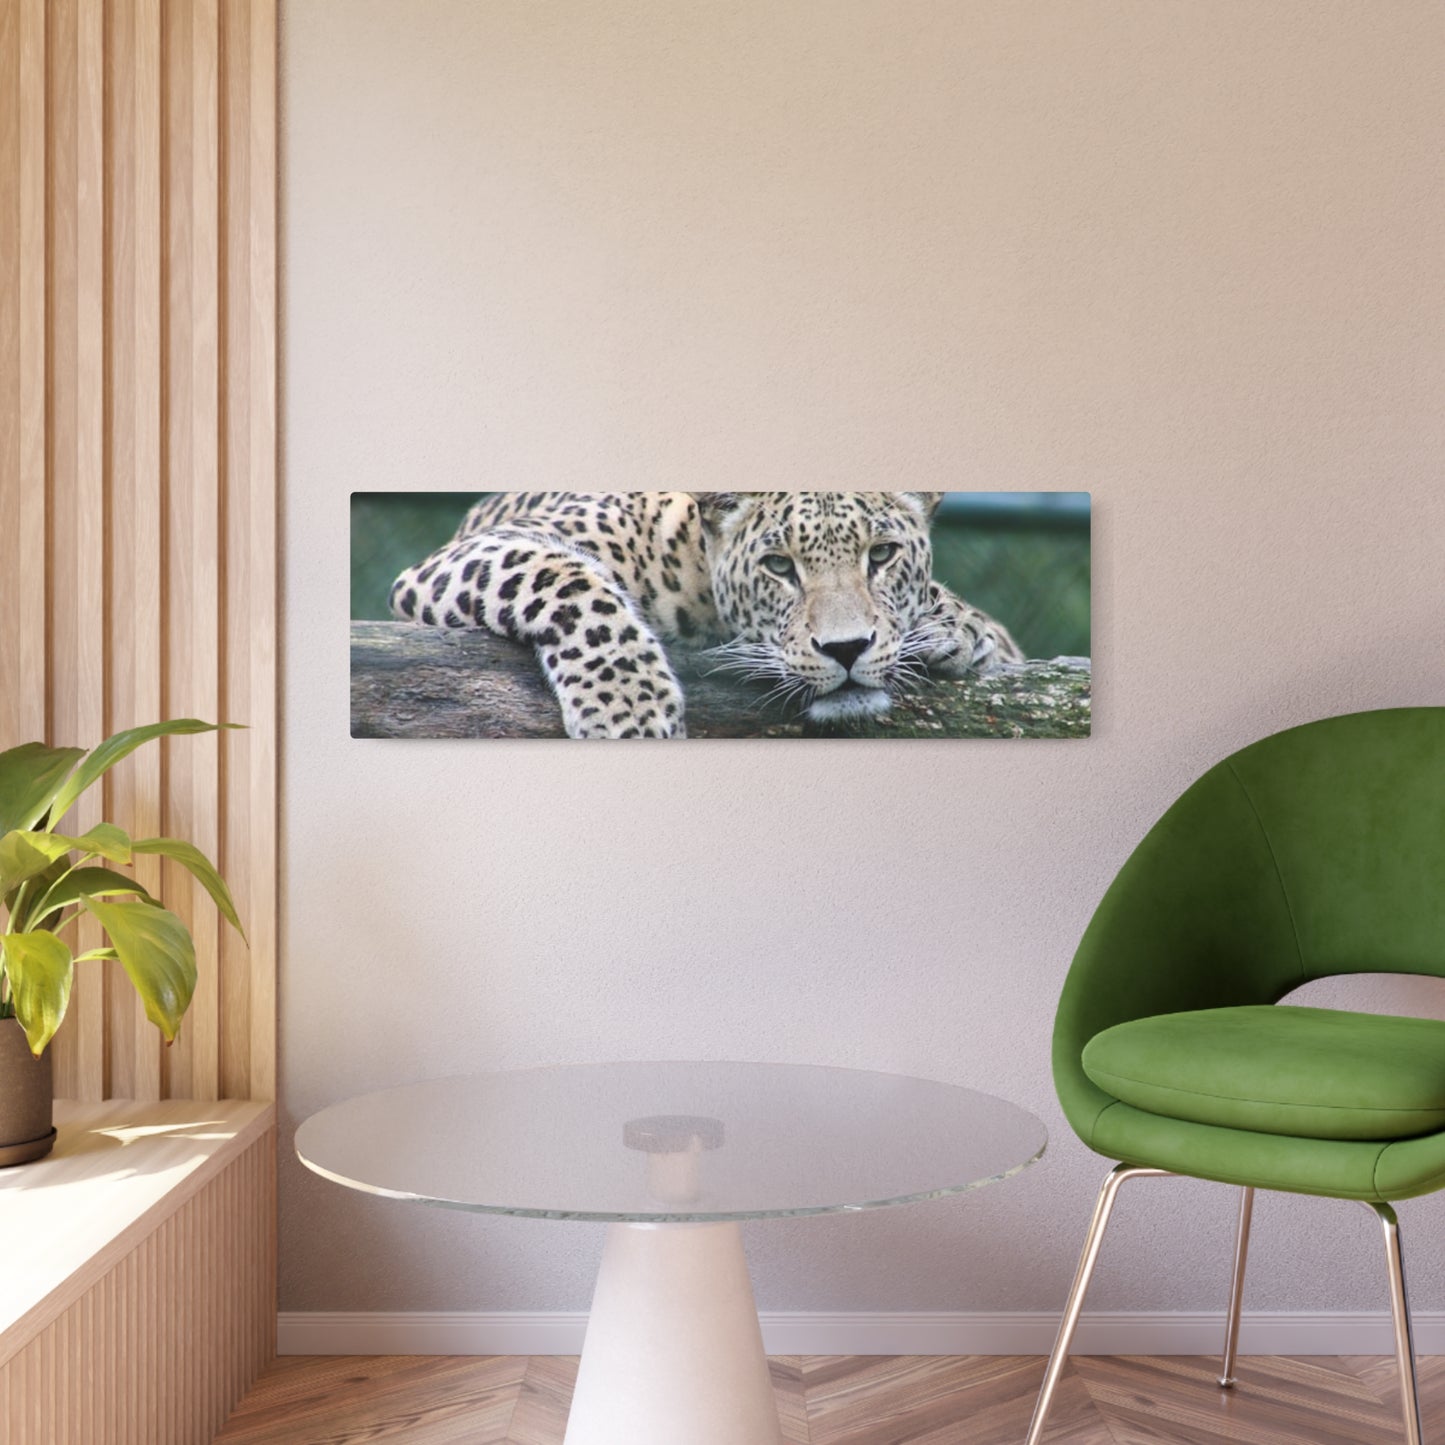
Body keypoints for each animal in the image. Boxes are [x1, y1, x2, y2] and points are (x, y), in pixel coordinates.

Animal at [388, 491, 1022, 739]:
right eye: (779, 565)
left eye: (883, 555)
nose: (845, 650)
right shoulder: (472, 553)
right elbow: (567, 579)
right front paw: (630, 711)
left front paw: (958, 628)